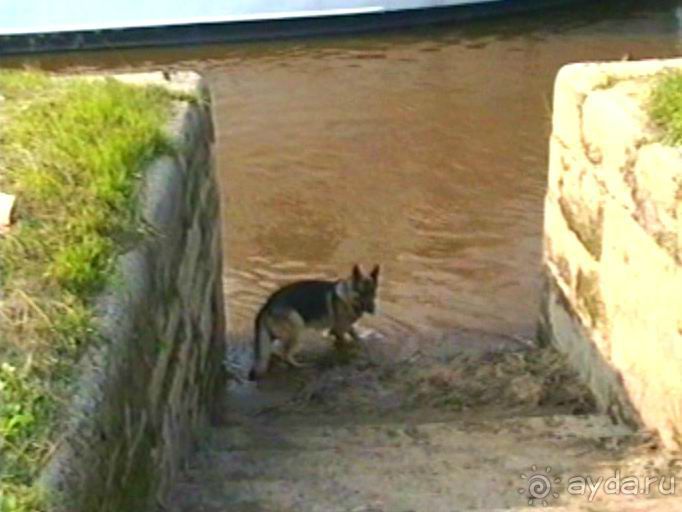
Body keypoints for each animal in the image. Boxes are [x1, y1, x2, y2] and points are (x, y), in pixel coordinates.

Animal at [248, 264, 380, 380]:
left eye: (373, 293)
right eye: (362, 293)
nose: (372, 310)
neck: (348, 297)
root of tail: (267, 305)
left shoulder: (344, 328)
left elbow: (356, 336)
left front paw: (360, 344)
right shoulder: (338, 330)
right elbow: (344, 343)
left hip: (275, 334)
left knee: (273, 351)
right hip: (297, 326)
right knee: (285, 354)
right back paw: (300, 366)